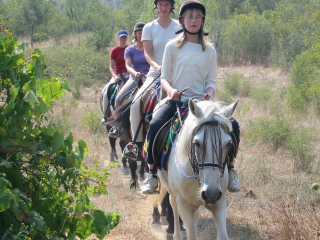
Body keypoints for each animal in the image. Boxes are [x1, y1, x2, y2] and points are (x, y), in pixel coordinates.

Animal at [159, 98, 239, 240]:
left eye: (229, 144)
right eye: (196, 143)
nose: (211, 194)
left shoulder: (219, 202)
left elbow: (223, 235)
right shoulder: (184, 205)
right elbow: (191, 233)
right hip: (171, 189)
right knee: (173, 206)